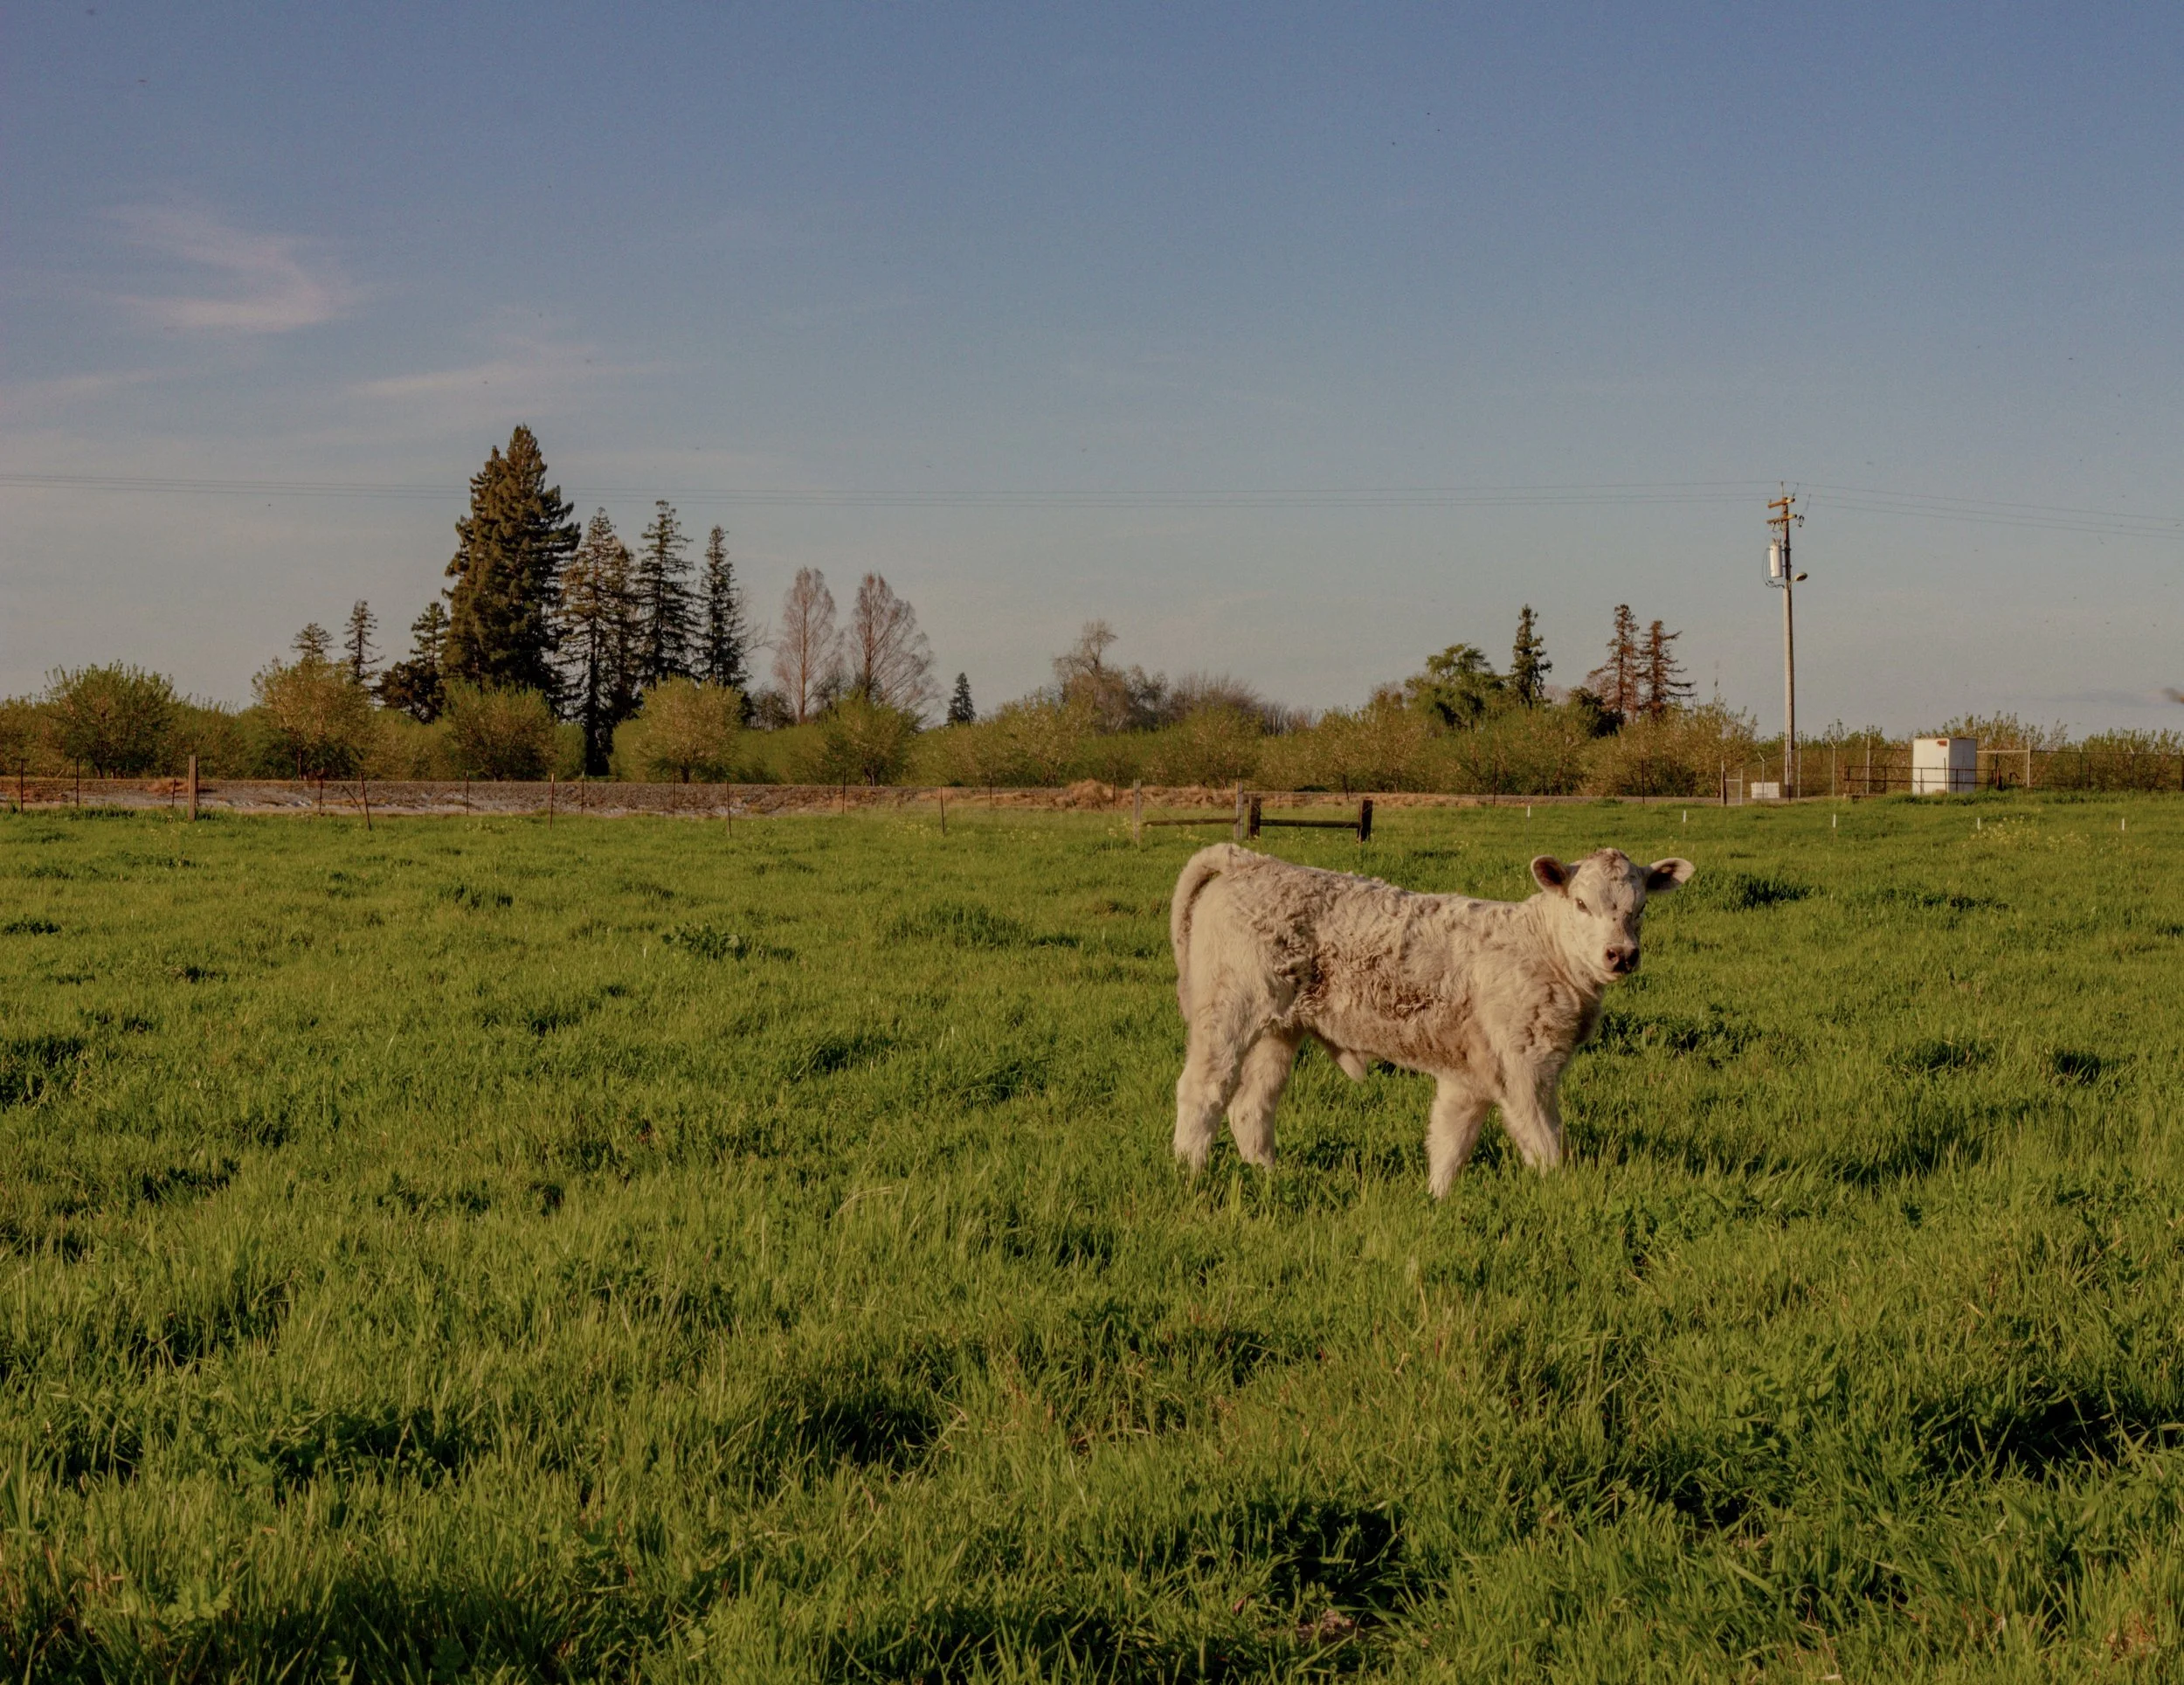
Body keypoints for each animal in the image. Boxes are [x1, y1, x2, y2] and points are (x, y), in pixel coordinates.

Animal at [1168, 843, 1694, 1196]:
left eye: (1641, 908)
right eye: (1582, 903)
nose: (1621, 955)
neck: (1544, 948)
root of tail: (1251, 861)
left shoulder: (1472, 1075)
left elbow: (1449, 1140)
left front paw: (1436, 1200)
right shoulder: (1527, 1068)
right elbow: (1545, 1143)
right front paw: (1558, 1198)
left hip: (1279, 1030)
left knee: (1252, 1106)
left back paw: (1268, 1176)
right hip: (1229, 1012)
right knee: (1204, 1089)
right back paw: (1189, 1172)